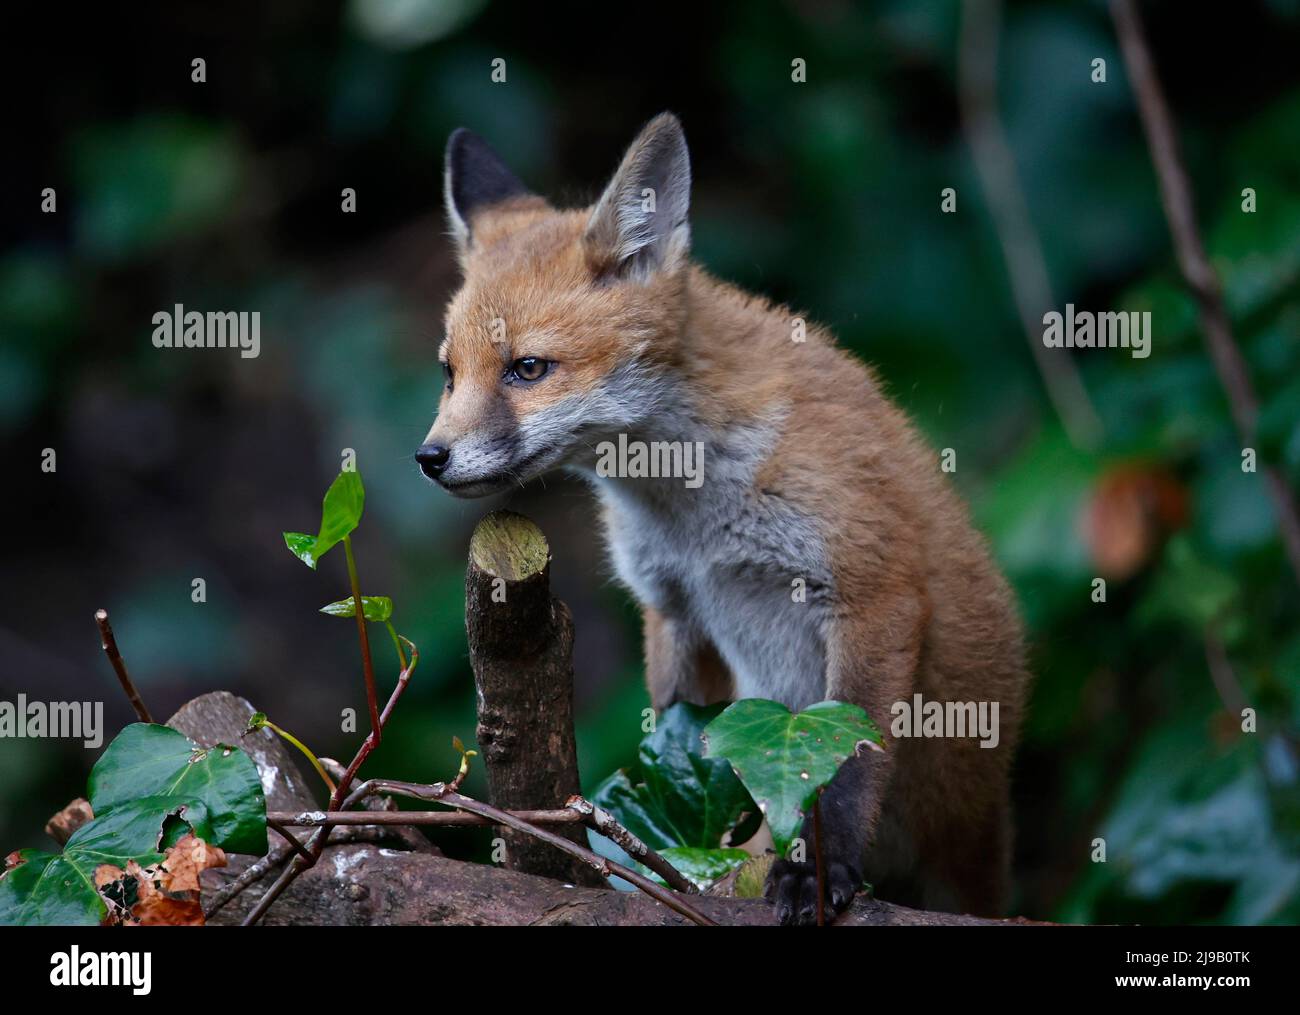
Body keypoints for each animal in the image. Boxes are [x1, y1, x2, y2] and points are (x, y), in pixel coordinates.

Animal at [418, 113, 1031, 924]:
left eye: (527, 368)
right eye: (450, 373)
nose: (430, 456)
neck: (695, 515)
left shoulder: (873, 592)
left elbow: (846, 761)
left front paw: (817, 870)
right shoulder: (676, 609)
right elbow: (681, 745)